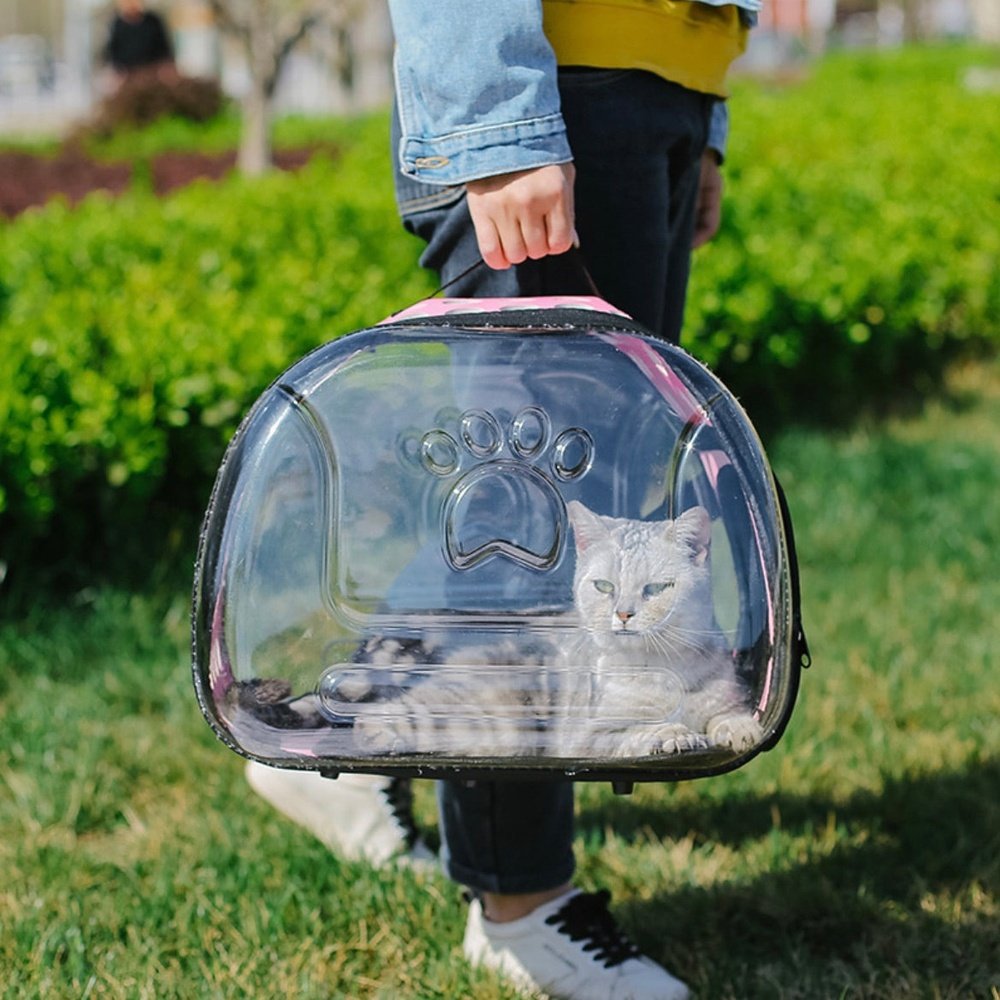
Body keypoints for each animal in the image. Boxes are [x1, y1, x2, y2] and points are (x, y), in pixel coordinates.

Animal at [348, 500, 760, 756]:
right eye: (604, 586)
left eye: (656, 589)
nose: (624, 614)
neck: (662, 667)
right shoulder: (590, 736)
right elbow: (636, 730)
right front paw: (673, 733)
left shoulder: (723, 698)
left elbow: (726, 715)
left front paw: (740, 728)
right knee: (380, 717)